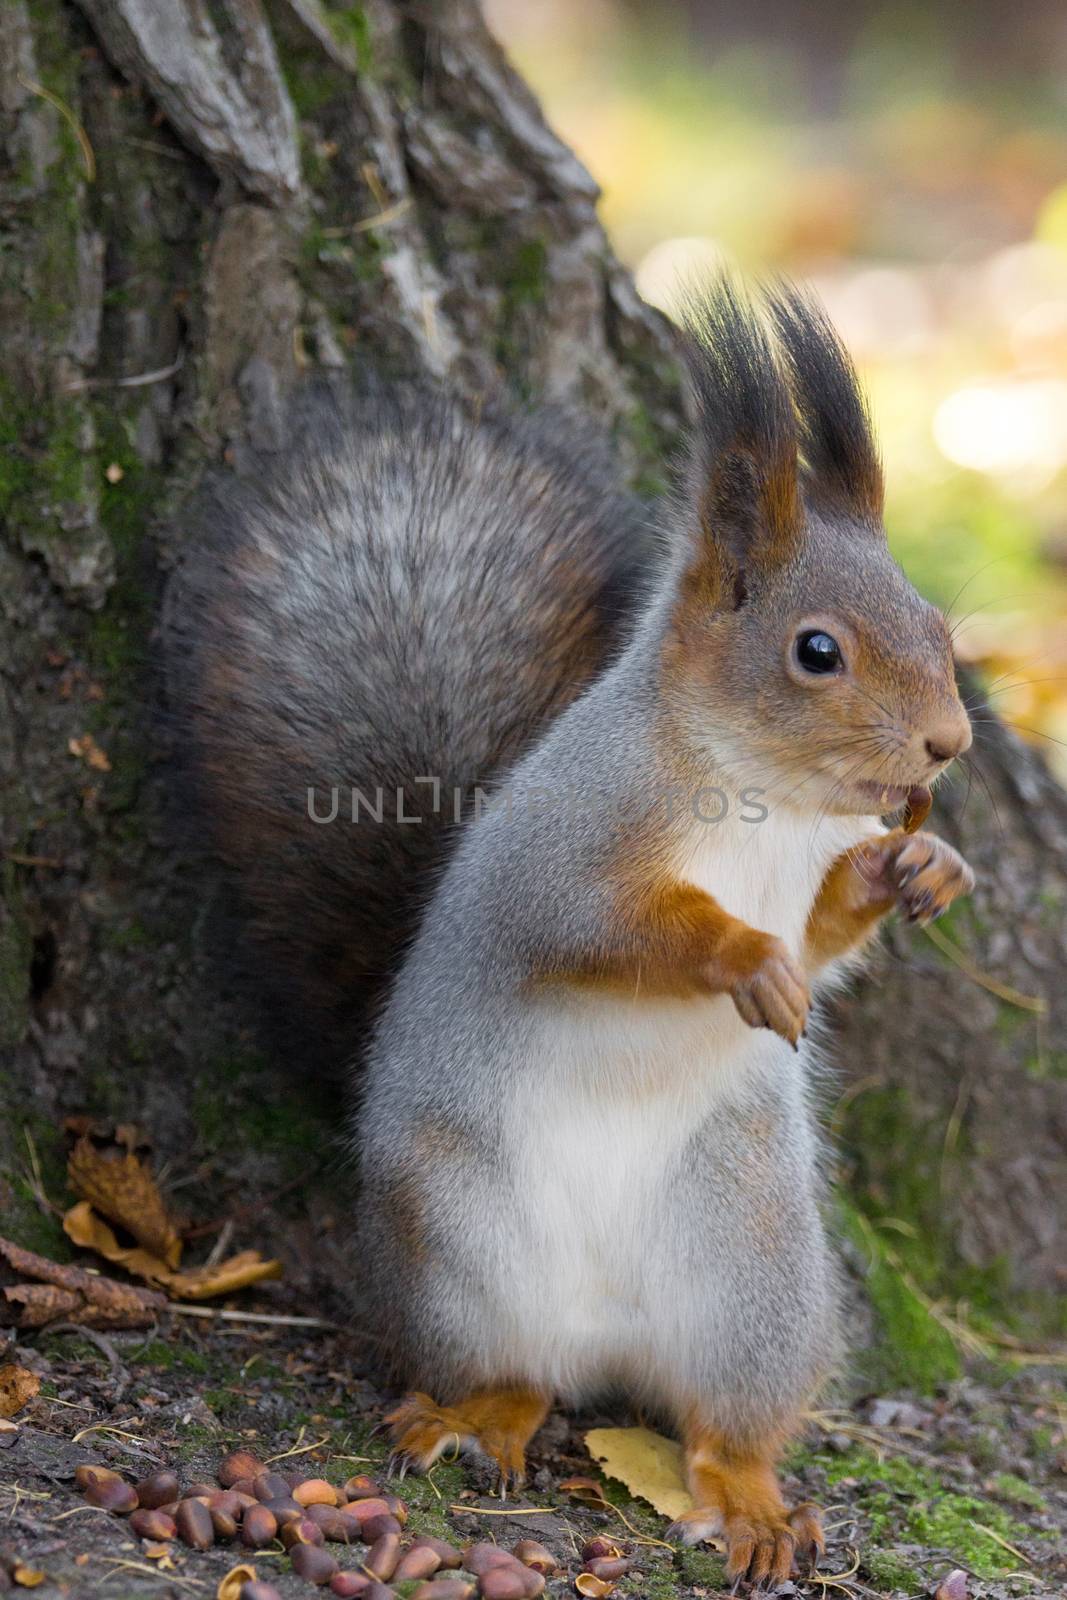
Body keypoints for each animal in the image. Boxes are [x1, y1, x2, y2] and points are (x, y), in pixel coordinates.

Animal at [167, 284, 979, 1587]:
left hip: (753, 1270)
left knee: (723, 1422)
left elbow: (823, 934)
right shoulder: (560, 855)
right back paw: (471, 1421)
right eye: (816, 650)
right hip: (455, 1241)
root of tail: (605, 1337)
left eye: (937, 624)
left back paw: (752, 1504)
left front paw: (921, 867)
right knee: (510, 1373)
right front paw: (744, 958)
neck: (764, 796)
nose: (947, 746)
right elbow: (618, 928)